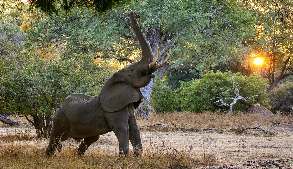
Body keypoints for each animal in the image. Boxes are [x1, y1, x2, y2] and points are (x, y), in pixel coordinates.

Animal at [44, 12, 165, 156]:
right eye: (132, 71)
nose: (133, 13)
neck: (113, 81)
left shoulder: (125, 105)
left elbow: (134, 129)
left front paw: (137, 157)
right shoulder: (114, 110)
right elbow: (123, 129)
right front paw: (123, 158)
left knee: (90, 139)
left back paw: (77, 156)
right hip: (59, 118)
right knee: (55, 137)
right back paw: (49, 156)